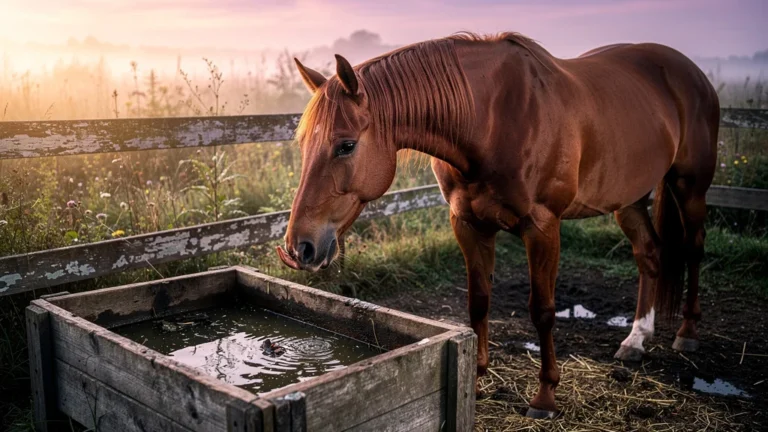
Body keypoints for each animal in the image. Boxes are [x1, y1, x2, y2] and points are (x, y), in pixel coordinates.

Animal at [276, 32, 719, 418]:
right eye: (302, 144)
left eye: (346, 145)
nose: (300, 247)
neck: (492, 121)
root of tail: (691, 73)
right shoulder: (469, 225)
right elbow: (478, 303)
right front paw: (476, 375)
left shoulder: (542, 227)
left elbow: (543, 310)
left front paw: (545, 396)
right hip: (628, 200)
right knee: (650, 255)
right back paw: (636, 339)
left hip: (690, 188)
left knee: (694, 249)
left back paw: (688, 332)